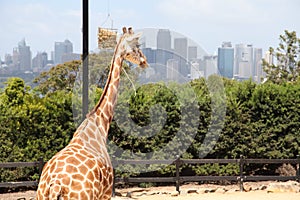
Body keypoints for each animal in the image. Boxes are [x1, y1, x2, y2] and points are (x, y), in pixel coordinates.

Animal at [36, 27, 148, 200]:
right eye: (137, 46)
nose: (145, 61)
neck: (99, 124)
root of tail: (56, 185)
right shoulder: (106, 194)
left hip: (40, 195)